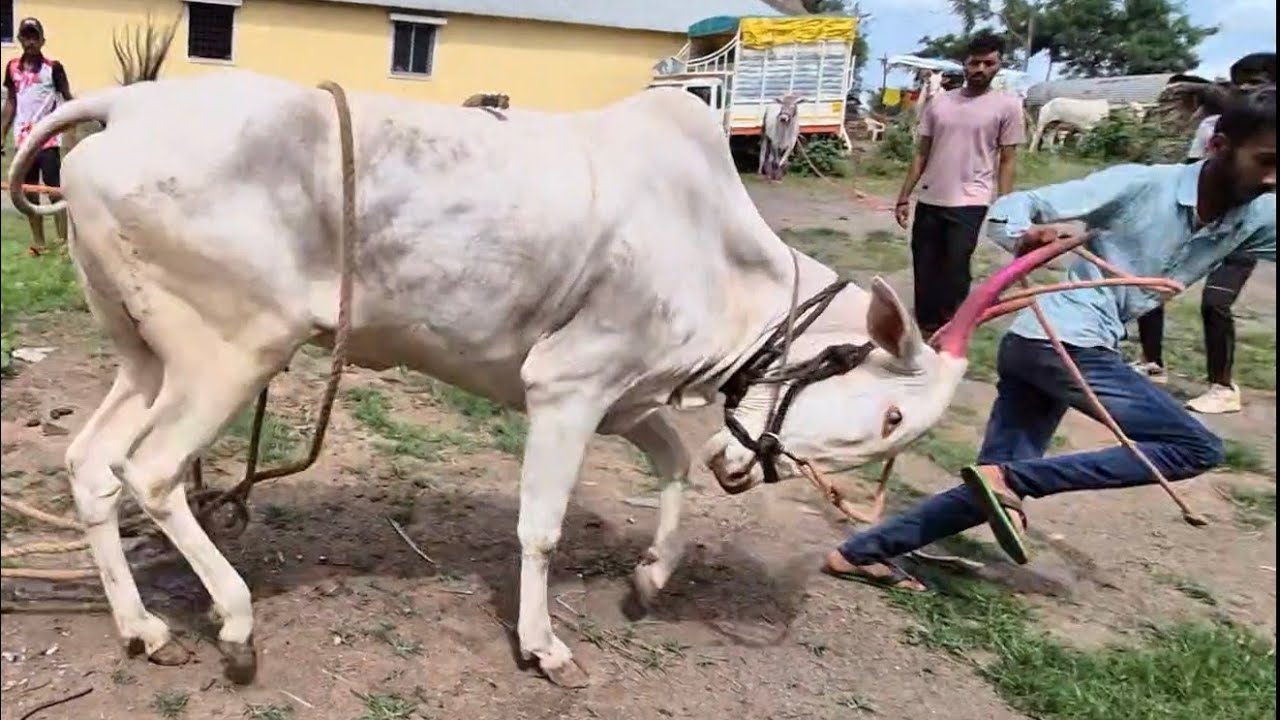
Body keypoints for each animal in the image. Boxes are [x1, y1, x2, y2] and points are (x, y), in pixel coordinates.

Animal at [7, 70, 1058, 689]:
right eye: (886, 415)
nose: (748, 467)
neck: (717, 251)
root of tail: (130, 105)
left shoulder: (629, 395)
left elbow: (673, 466)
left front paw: (651, 577)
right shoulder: (568, 387)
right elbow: (542, 527)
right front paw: (543, 645)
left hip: (148, 355)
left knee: (91, 465)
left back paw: (143, 627)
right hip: (231, 351)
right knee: (151, 473)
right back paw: (232, 622)